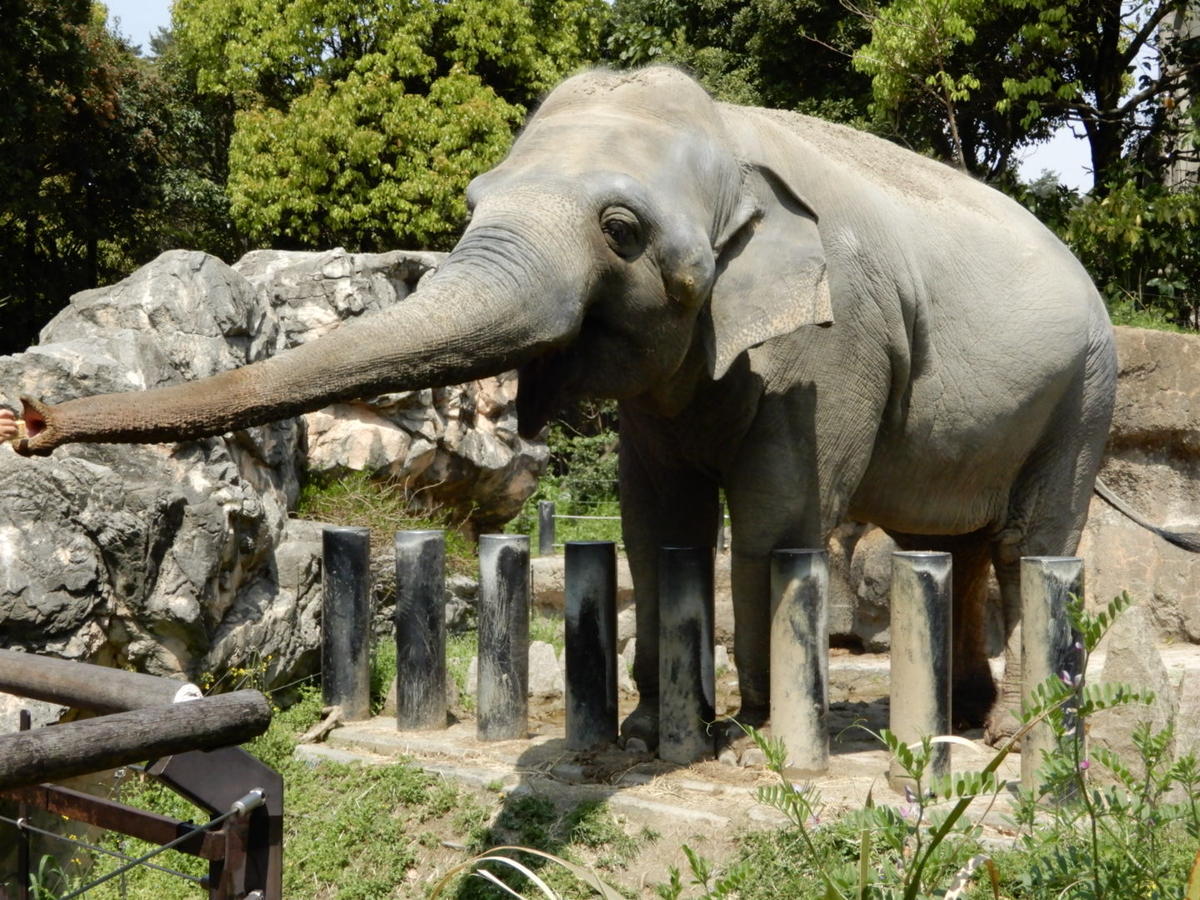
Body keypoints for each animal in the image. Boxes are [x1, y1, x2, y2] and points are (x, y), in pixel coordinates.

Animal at [14, 66, 1137, 748]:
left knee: (1032, 544)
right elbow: (654, 518)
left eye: (620, 229)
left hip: (1085, 390)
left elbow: (779, 515)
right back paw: (964, 721)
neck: (732, 135)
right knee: (950, 544)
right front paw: (652, 735)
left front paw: (758, 737)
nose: (30, 420)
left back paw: (1012, 735)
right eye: (474, 202)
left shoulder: (834, 344)